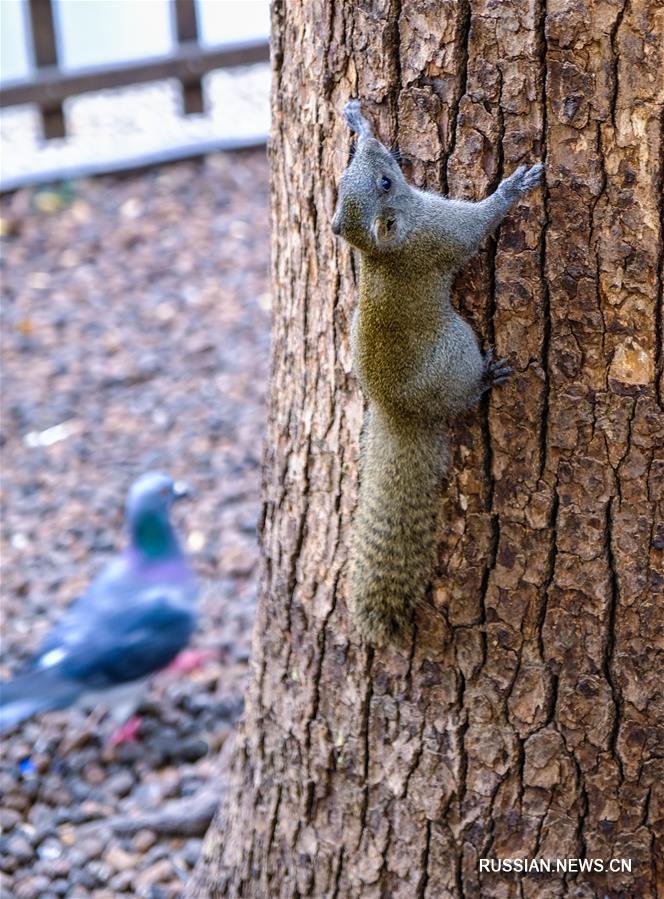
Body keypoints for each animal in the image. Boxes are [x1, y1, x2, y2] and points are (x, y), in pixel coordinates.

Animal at [332, 100, 544, 648]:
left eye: (350, 182)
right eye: (386, 182)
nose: (381, 150)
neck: (381, 251)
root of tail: (399, 413)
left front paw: (358, 121)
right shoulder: (442, 232)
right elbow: (476, 226)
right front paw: (513, 188)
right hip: (456, 350)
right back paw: (486, 377)